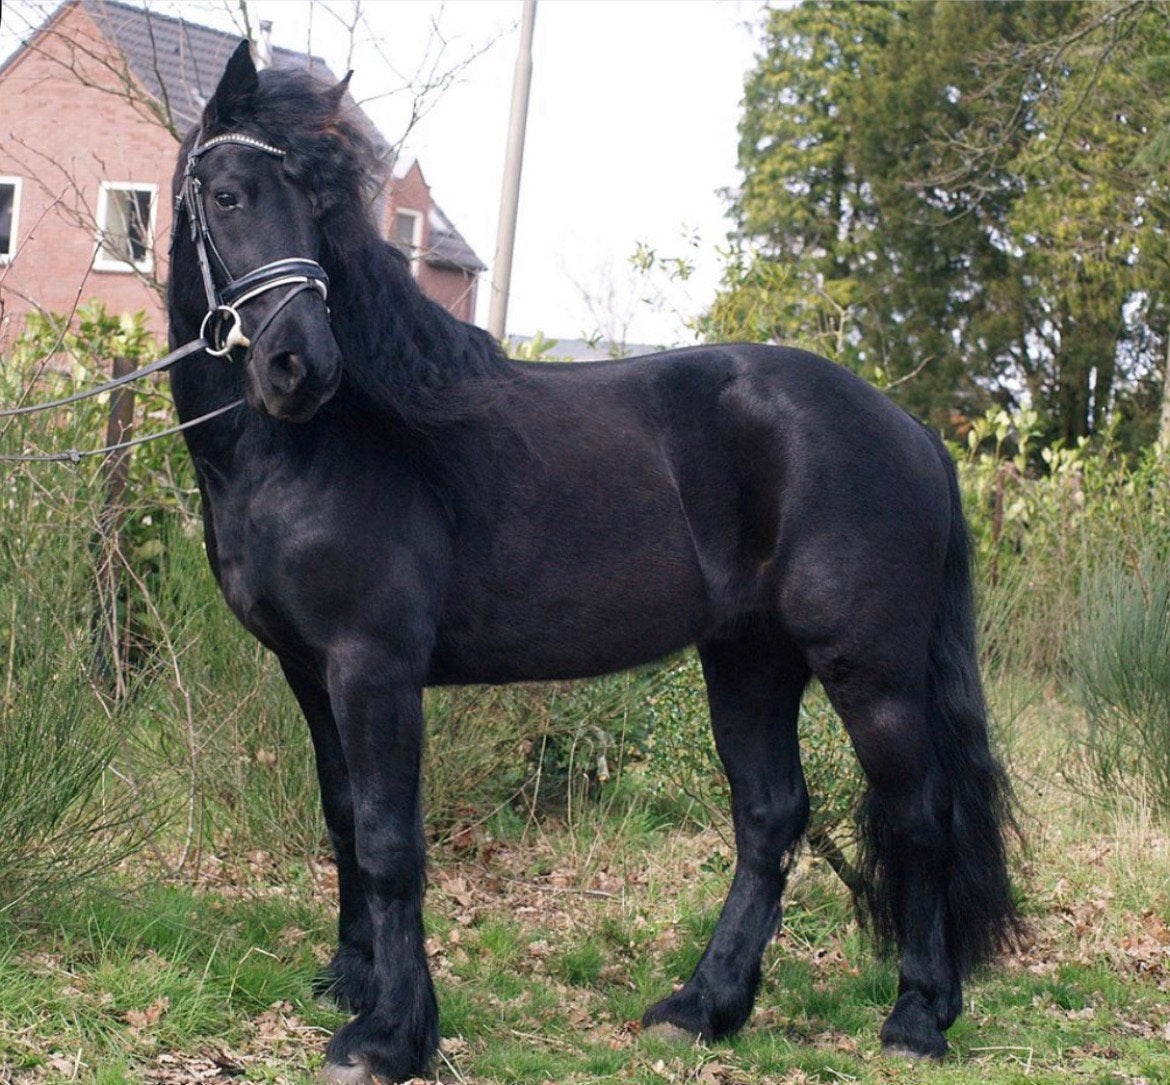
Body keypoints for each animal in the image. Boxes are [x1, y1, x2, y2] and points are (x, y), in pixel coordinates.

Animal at [167, 42, 1018, 1085]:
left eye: (319, 209)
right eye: (230, 195)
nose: (301, 366)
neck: (324, 442)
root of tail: (912, 431)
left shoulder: (374, 668)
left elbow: (390, 841)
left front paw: (389, 1032)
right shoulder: (308, 670)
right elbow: (342, 819)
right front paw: (353, 981)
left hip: (872, 671)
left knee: (920, 816)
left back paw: (917, 1016)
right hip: (751, 659)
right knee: (771, 818)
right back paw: (703, 1005)